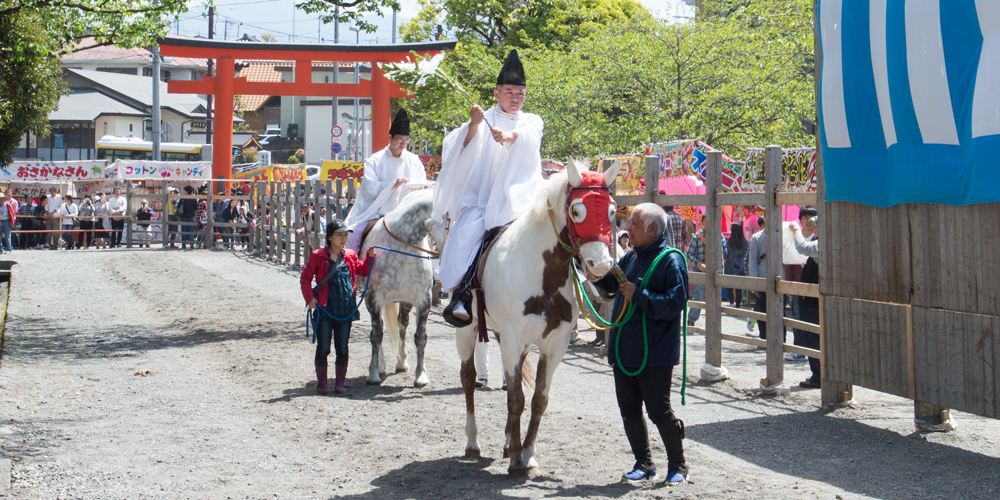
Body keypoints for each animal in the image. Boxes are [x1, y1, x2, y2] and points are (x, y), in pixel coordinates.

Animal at [362, 189, 436, 388]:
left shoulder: (423, 299)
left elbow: (420, 337)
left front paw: (421, 375)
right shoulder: (373, 299)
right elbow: (376, 334)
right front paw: (373, 373)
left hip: (405, 300)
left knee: (402, 324)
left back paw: (402, 362)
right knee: (378, 328)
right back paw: (381, 366)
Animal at [458, 159, 620, 476]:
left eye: (611, 210)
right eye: (576, 211)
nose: (599, 265)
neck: (543, 276)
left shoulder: (554, 346)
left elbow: (538, 400)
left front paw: (528, 453)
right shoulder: (513, 341)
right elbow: (516, 399)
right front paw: (516, 459)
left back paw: (507, 441)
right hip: (468, 328)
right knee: (468, 378)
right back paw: (472, 441)